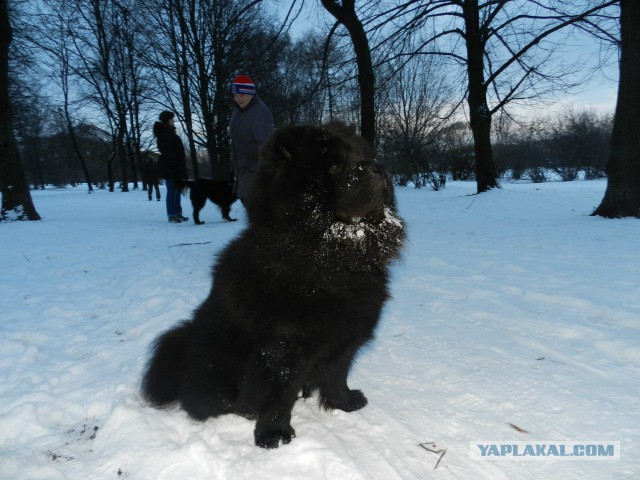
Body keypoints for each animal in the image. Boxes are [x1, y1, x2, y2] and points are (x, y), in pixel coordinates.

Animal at [144, 122, 404, 448]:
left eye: (363, 156)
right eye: (334, 166)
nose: (378, 167)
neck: (335, 260)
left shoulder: (349, 334)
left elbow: (337, 373)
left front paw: (345, 402)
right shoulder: (283, 346)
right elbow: (278, 395)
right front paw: (273, 434)